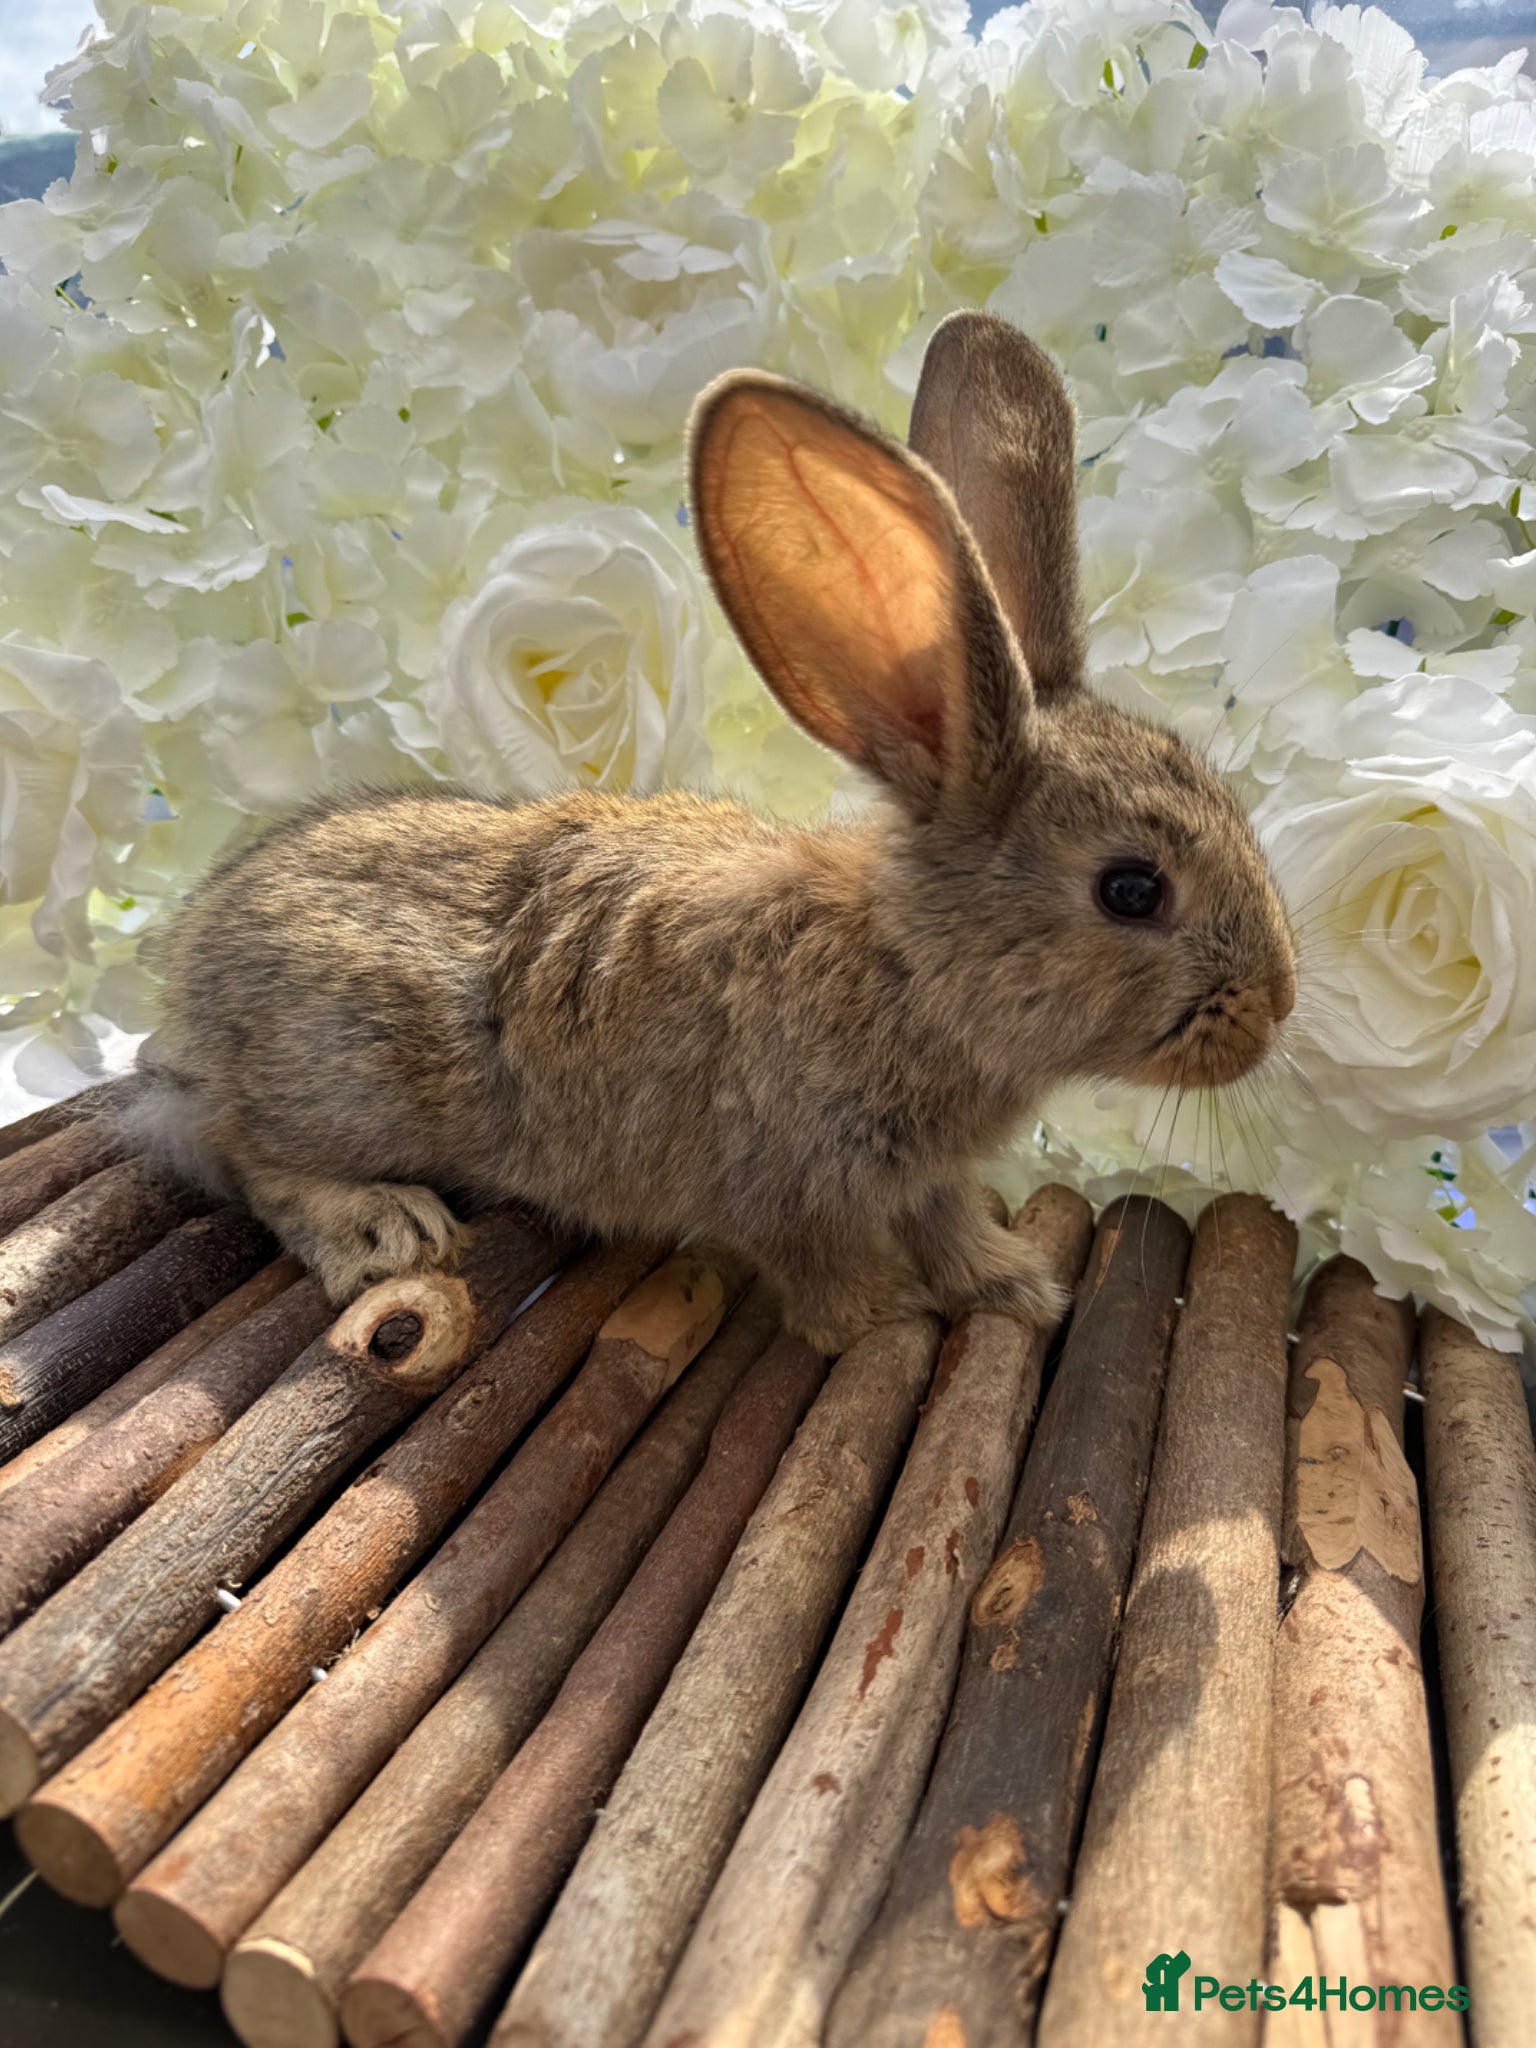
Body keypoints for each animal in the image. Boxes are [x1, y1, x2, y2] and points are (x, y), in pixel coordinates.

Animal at [119, 311, 1297, 1354]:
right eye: (1132, 889)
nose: (1274, 1009)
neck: (908, 968)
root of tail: (188, 989)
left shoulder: (924, 1174)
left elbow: (950, 1223)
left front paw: (1018, 1288)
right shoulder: (794, 1179)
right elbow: (825, 1272)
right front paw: (885, 1321)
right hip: (343, 1077)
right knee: (242, 1153)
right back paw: (381, 1224)